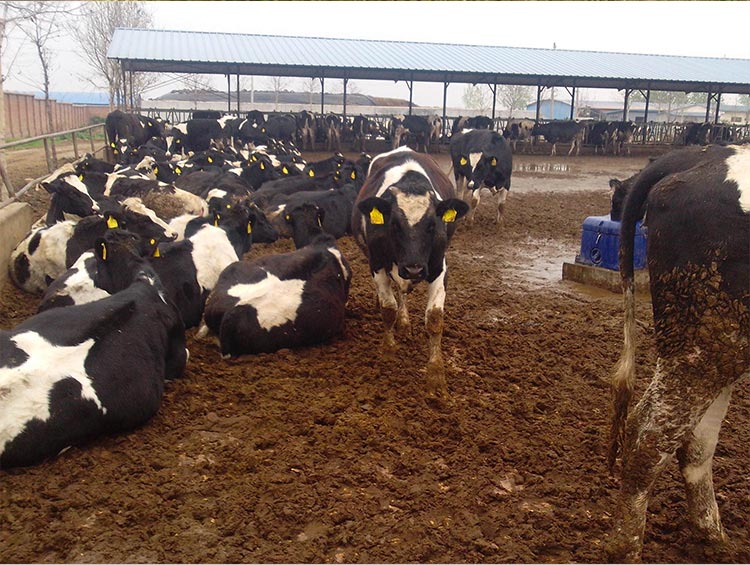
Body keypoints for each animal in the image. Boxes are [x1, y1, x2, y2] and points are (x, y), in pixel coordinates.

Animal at [352, 147, 469, 400]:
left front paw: (436, 377)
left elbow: (434, 319)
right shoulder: (377, 264)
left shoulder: (438, 267)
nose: (414, 268)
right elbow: (388, 309)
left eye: (432, 225)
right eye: (394, 225)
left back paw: (404, 323)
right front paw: (388, 352)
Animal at [606, 144, 750, 562]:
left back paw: (713, 535)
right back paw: (625, 548)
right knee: (649, 437)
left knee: (695, 442)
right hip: (708, 345)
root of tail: (698, 155)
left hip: (718, 348)